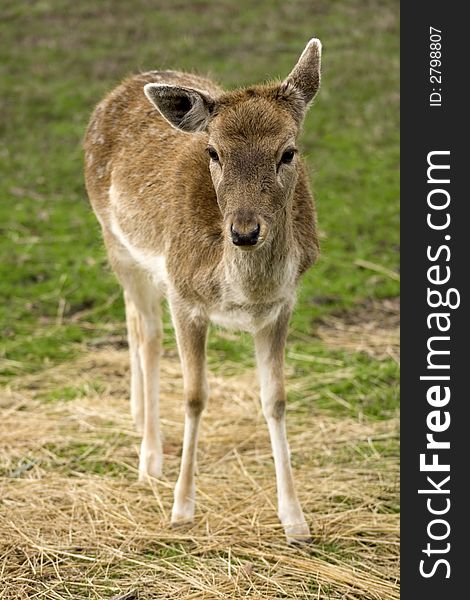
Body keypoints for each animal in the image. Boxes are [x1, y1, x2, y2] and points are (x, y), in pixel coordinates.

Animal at [82, 38, 322, 544]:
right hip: (115, 241)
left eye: (288, 152)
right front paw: (181, 509)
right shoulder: (184, 296)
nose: (245, 231)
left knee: (134, 322)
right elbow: (194, 396)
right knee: (147, 334)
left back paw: (137, 418)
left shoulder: (283, 304)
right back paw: (149, 457)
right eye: (213, 152)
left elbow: (275, 399)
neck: (243, 291)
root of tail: (127, 83)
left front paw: (295, 521)